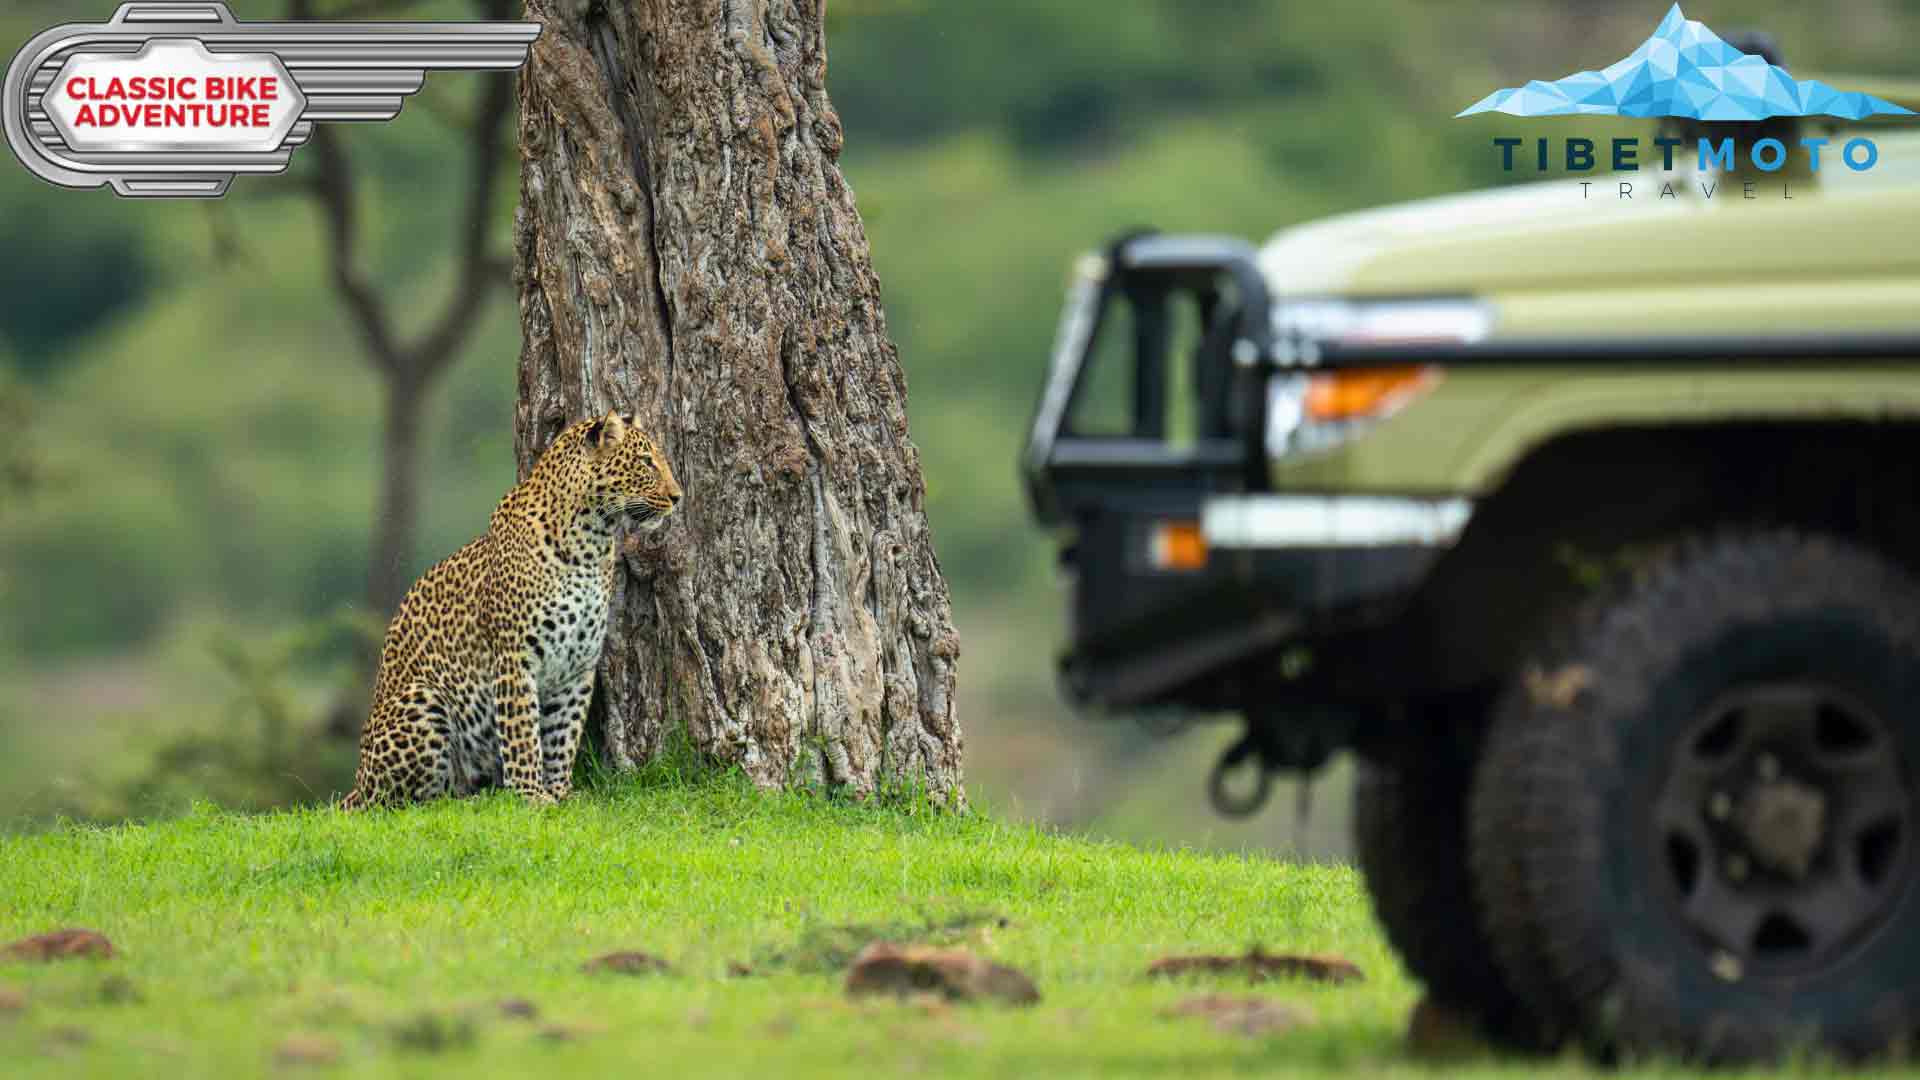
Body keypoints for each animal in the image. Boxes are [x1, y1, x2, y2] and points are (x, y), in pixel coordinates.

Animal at [339, 411, 681, 810]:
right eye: (645, 462)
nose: (678, 497)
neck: (591, 542)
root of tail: (357, 782)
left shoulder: (577, 667)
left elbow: (563, 735)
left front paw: (560, 792)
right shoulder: (515, 659)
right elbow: (523, 734)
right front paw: (531, 795)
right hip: (423, 699)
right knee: (402, 804)